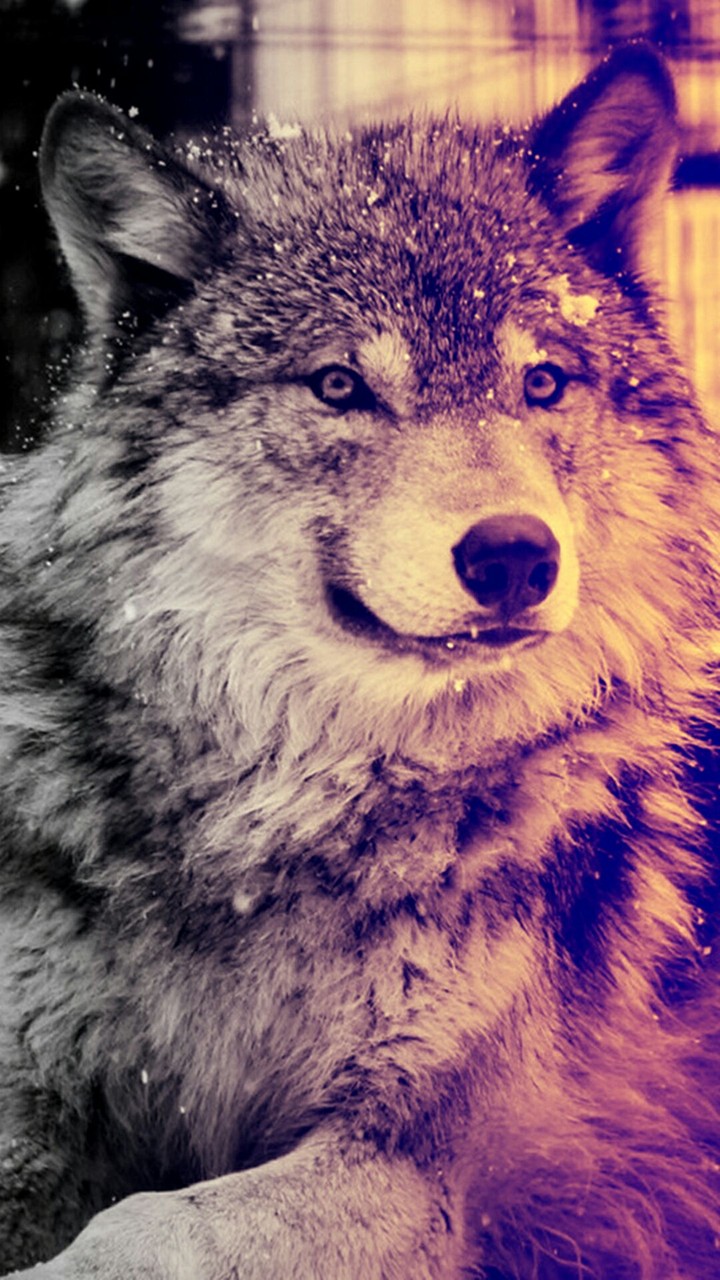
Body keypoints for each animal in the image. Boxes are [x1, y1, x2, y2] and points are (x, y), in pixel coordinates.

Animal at [0, 40, 719, 1280]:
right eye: (340, 385)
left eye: (543, 381)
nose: (516, 554)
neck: (279, 813)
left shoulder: (422, 1163)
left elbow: (150, 1222)